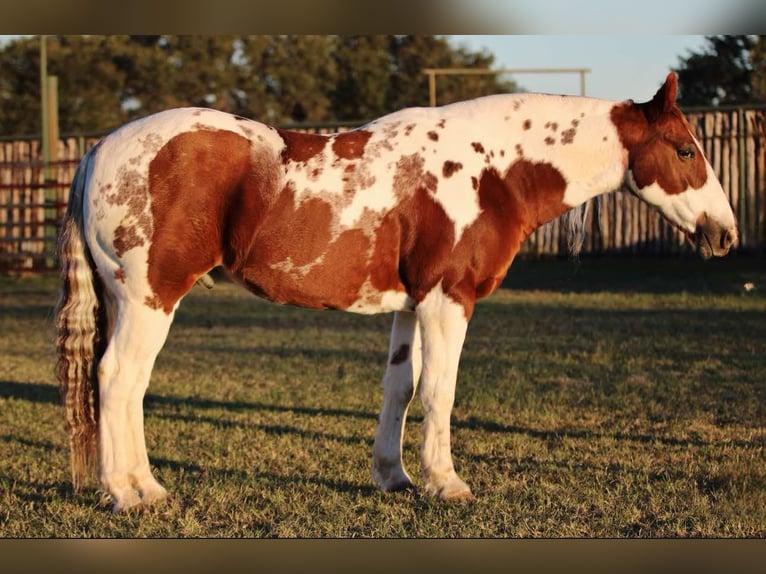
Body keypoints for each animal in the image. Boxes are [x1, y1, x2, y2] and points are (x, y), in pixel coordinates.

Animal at [54, 72, 736, 512]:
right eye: (686, 150)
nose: (724, 233)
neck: (490, 169)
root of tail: (97, 152)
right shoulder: (448, 300)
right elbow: (440, 391)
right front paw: (446, 483)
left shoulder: (412, 305)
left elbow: (400, 388)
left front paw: (395, 477)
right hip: (149, 299)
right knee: (120, 380)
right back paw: (131, 493)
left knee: (121, 384)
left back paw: (136, 487)